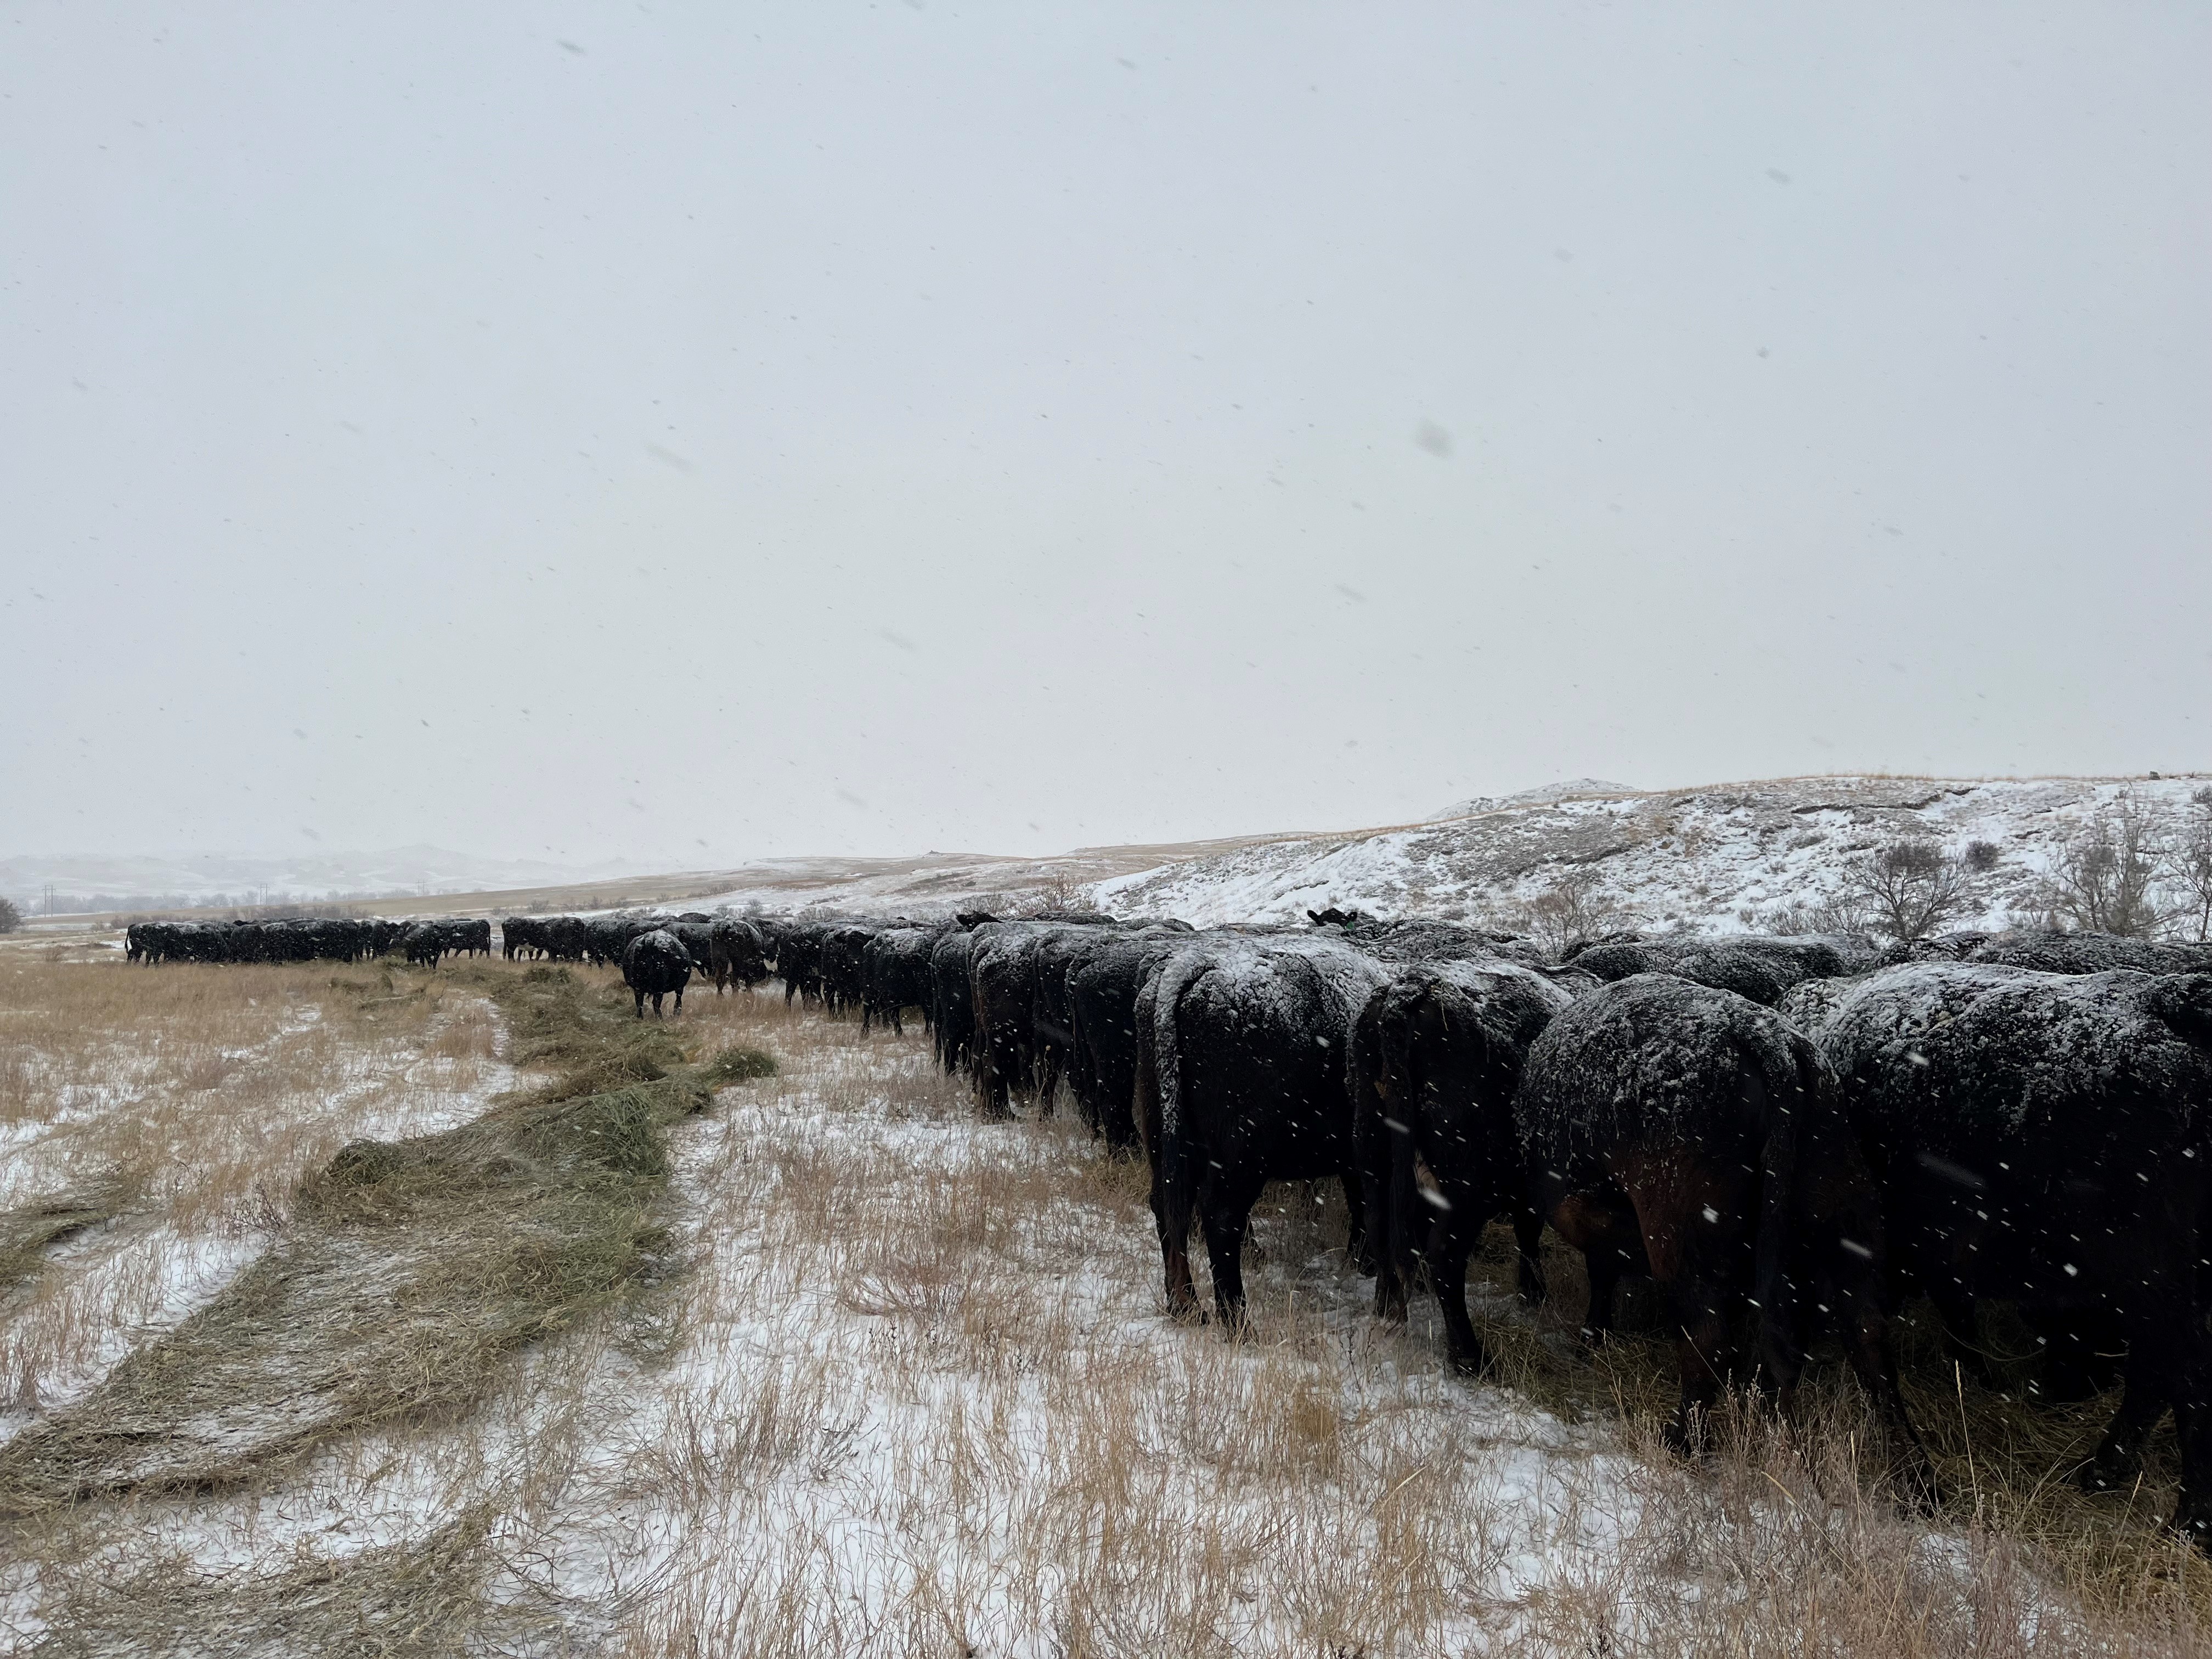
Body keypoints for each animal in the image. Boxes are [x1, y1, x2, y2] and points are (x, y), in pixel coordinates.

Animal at [622, 928, 694, 1018]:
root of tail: (650, 938)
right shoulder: (680, 987)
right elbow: (678, 1003)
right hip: (659, 985)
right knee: (656, 1003)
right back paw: (660, 1019)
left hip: (638, 985)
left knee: (639, 1002)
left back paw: (640, 1018)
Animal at [1515, 973, 1929, 1488]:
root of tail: (1770, 1041)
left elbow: (1600, 1271)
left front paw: (1592, 1335)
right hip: (1845, 1223)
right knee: (1868, 1337)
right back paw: (1916, 1476)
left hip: (1681, 1241)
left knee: (1707, 1338)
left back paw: (1681, 1442)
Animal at [1790, 963, 2212, 1543]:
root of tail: (2167, 1000)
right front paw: (1979, 1379)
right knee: (2160, 1378)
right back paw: (2110, 1475)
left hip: (2153, 1284)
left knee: (2181, 1381)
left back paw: (2181, 1515)